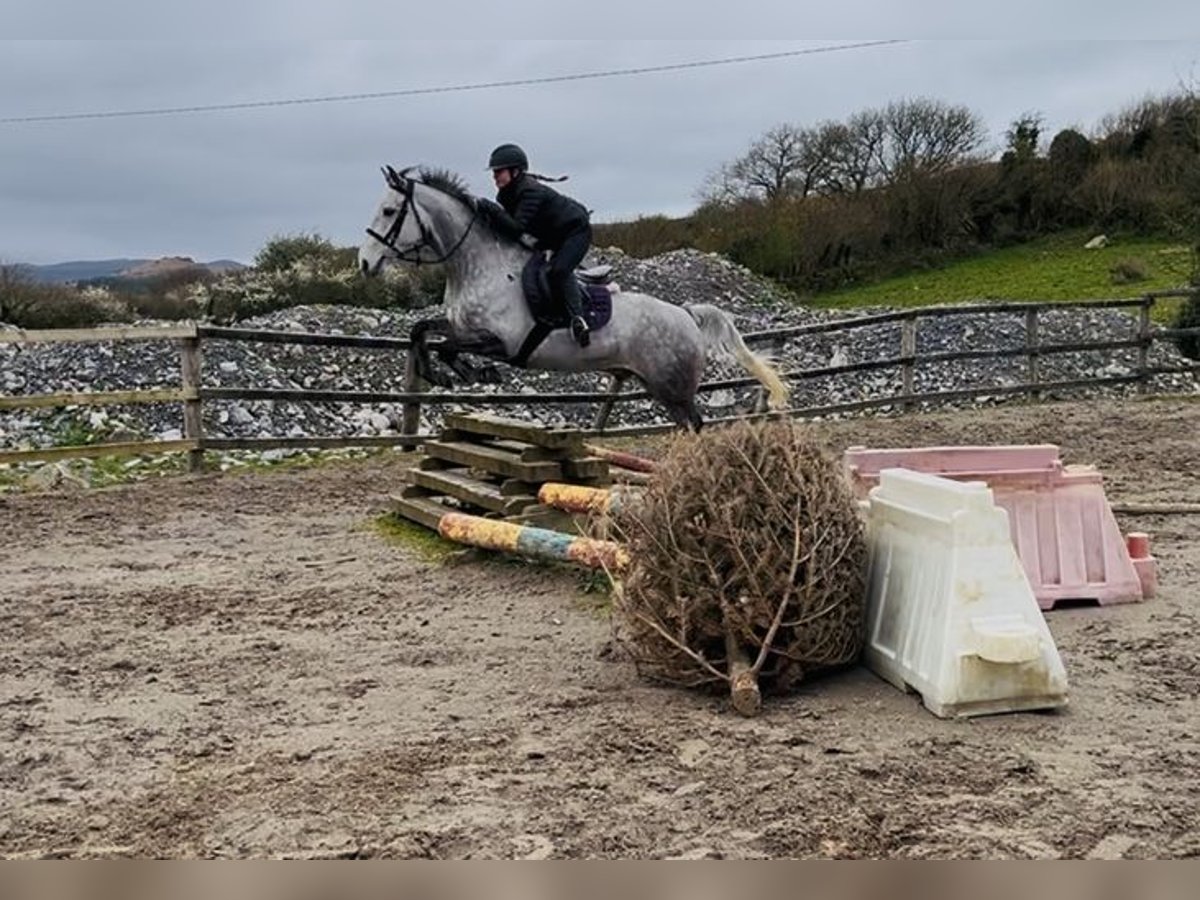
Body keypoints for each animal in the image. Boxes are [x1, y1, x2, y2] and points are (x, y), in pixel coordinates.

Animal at [357, 165, 789, 429]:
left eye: (389, 211)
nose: (364, 263)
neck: (479, 264)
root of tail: (686, 314)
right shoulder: (461, 326)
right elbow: (422, 330)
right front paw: (440, 373)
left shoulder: (501, 342)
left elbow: (448, 346)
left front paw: (476, 373)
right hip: (659, 387)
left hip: (674, 387)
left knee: (696, 426)